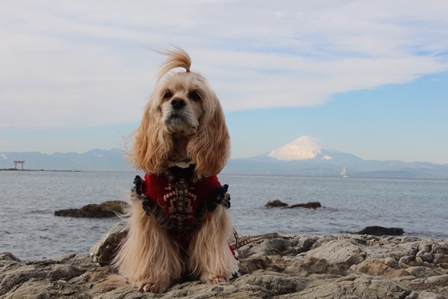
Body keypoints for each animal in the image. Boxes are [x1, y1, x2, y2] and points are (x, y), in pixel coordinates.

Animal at [114, 48, 240, 292]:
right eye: (167, 94)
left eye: (195, 95)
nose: (177, 102)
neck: (181, 170)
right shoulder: (149, 212)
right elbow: (153, 252)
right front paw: (151, 280)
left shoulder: (212, 208)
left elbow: (210, 247)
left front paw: (216, 275)